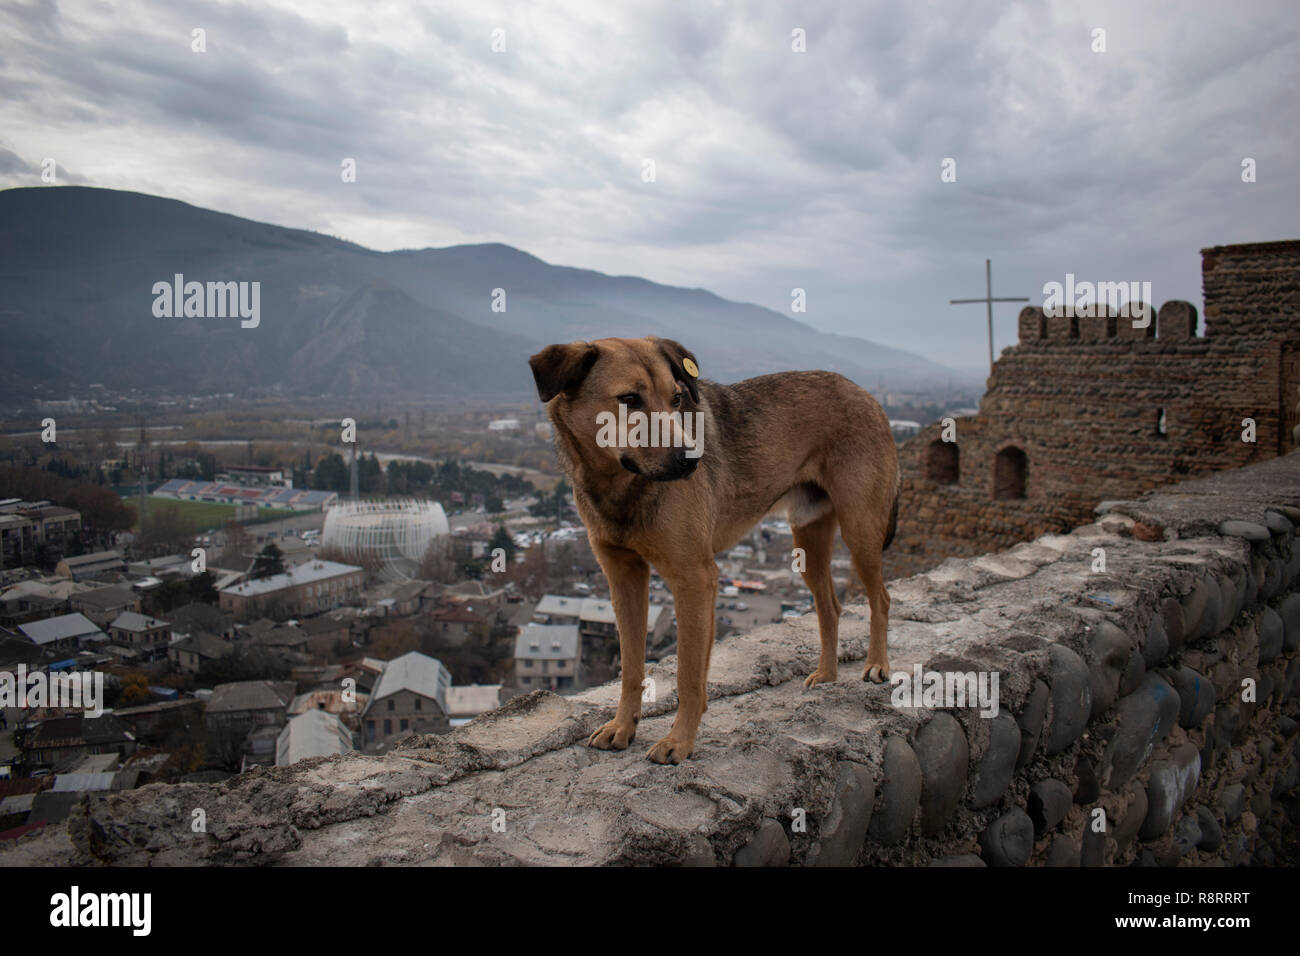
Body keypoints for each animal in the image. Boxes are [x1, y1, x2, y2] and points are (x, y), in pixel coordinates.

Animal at [525, 335, 894, 764]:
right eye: (629, 399)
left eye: (677, 398)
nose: (692, 460)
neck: (621, 486)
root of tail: (866, 394)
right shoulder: (624, 579)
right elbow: (631, 667)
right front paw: (623, 727)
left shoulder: (695, 579)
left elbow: (688, 675)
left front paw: (679, 742)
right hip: (808, 539)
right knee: (830, 607)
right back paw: (828, 675)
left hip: (860, 529)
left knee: (881, 598)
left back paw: (877, 665)